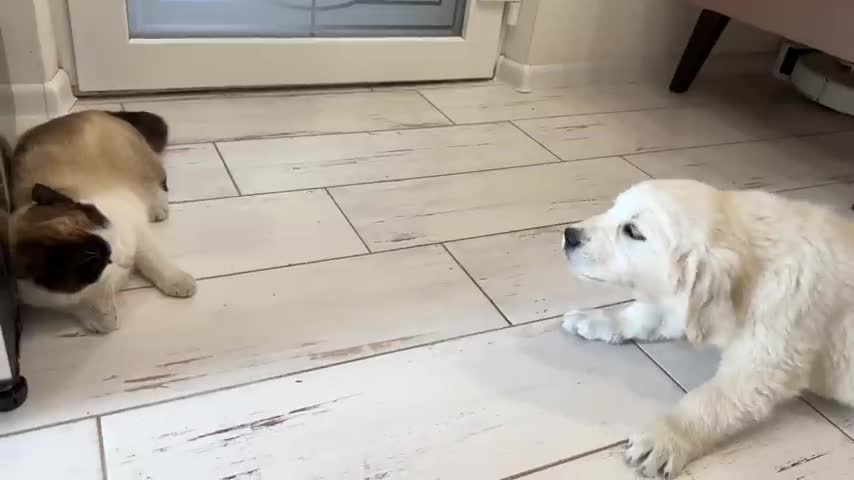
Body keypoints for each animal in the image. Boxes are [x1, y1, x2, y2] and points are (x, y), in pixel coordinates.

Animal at [5, 110, 196, 332]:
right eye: (102, 261)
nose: (128, 260)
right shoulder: (49, 299)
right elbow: (84, 308)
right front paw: (102, 319)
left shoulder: (135, 226)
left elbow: (153, 261)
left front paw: (178, 282)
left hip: (141, 164)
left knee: (158, 182)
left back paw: (157, 209)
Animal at [560, 180, 854, 480]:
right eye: (613, 208)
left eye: (633, 231)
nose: (569, 235)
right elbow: (648, 314)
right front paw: (596, 319)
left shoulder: (770, 351)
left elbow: (710, 400)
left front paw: (666, 437)